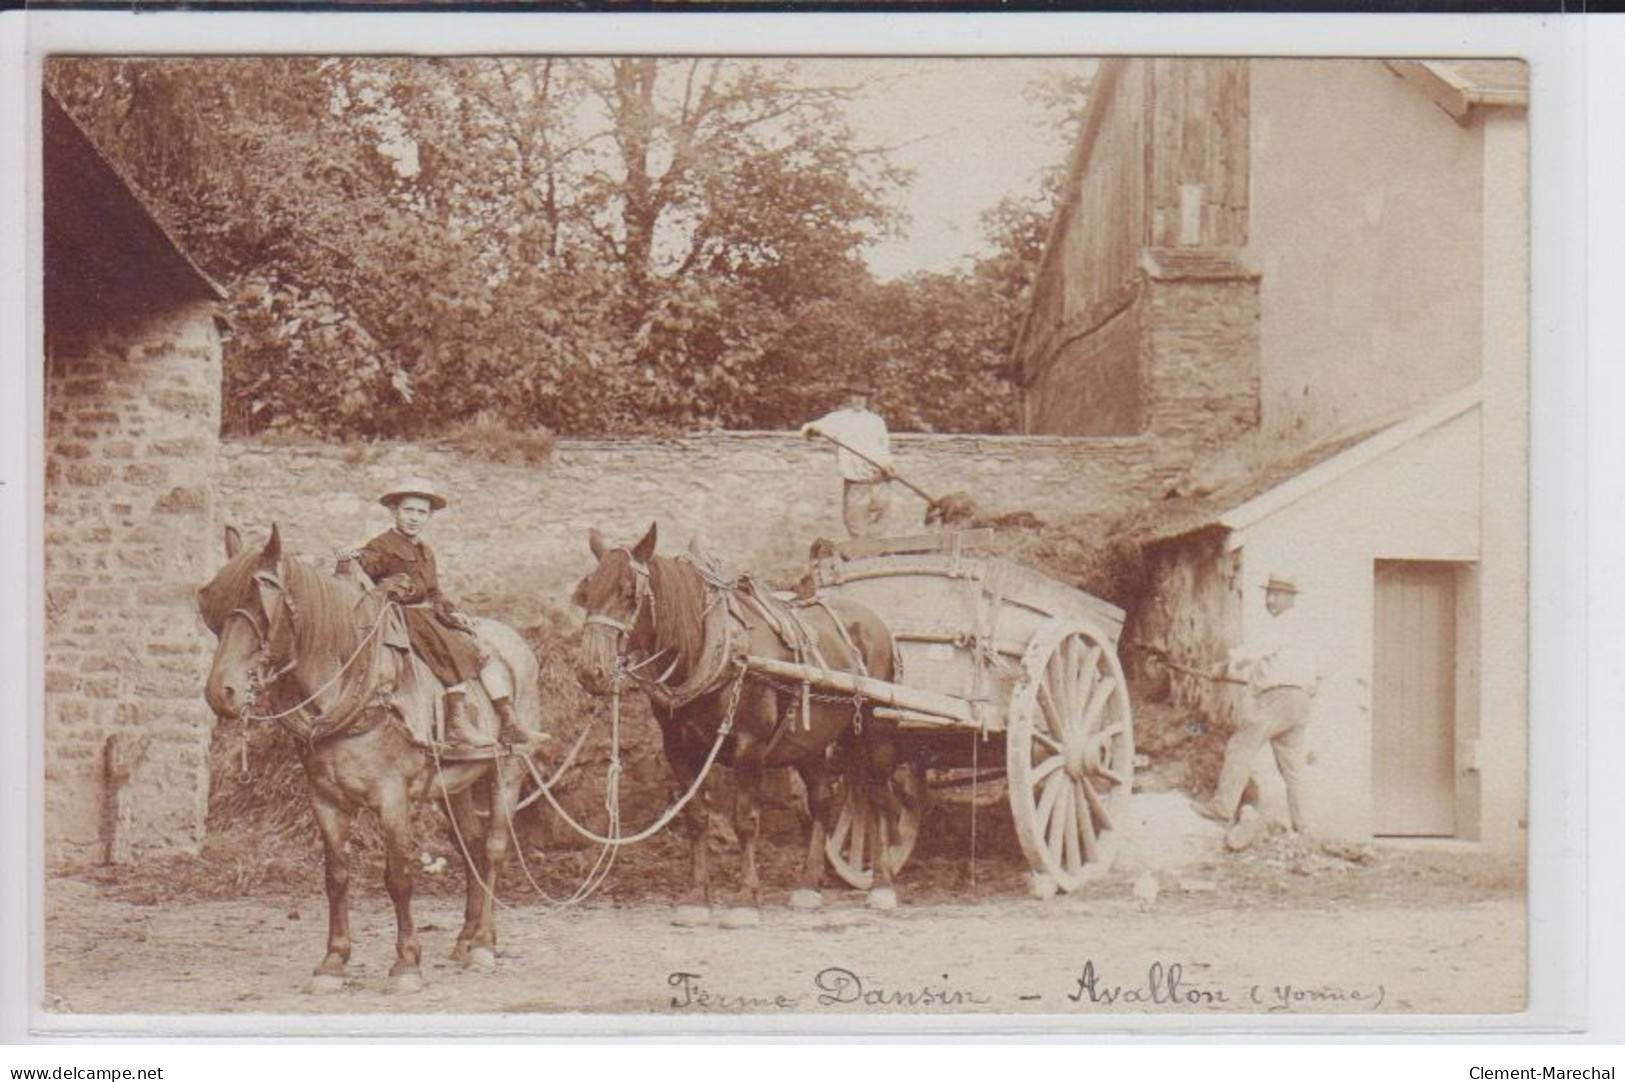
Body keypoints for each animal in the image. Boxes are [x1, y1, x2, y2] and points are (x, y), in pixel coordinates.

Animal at [200, 526, 546, 987]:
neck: (355, 686)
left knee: (492, 848)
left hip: (507, 769)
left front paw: (406, 963)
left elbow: (398, 876)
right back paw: (465, 939)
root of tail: (514, 641)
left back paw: (485, 945)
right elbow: (336, 876)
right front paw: (333, 961)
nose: (221, 693)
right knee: (470, 845)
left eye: (261, 602)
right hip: (454, 785)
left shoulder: (392, 798)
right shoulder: (324, 800)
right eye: (215, 607)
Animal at [572, 519, 903, 916]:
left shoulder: (749, 746)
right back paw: (809, 885)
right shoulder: (677, 750)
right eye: (587, 593)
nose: (591, 672)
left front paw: (746, 897)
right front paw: (698, 895)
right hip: (808, 740)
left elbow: (745, 820)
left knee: (878, 796)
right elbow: (696, 818)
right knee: (822, 800)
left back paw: (882, 884)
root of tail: (875, 620)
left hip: (874, 730)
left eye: (628, 594)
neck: (717, 650)